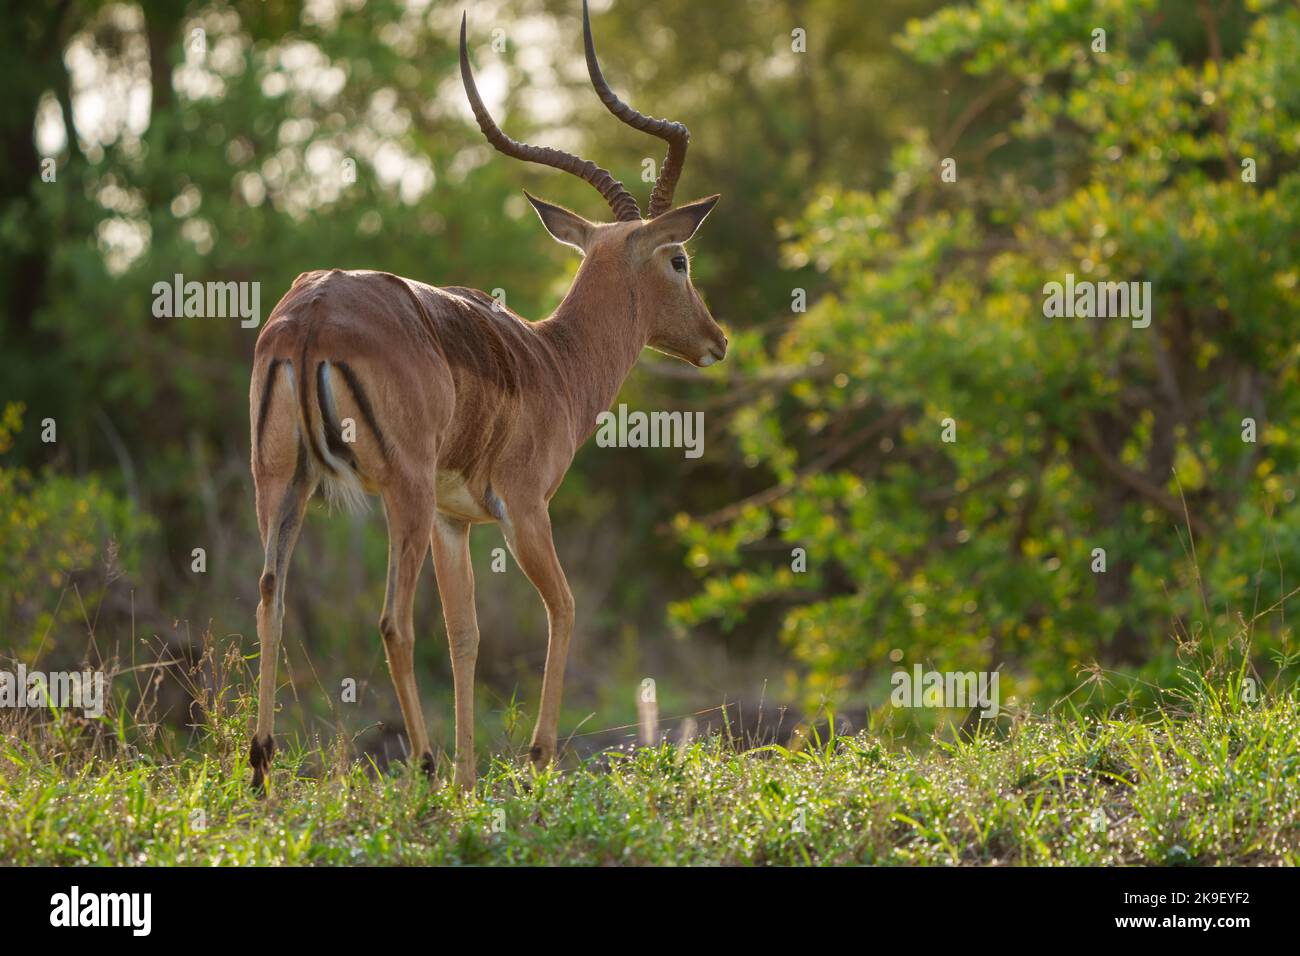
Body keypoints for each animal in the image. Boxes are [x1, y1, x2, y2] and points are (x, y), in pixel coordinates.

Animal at [247, 1, 726, 790]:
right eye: (680, 258)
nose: (717, 340)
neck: (554, 360)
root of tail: (311, 313)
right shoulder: (523, 507)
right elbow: (563, 608)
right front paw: (534, 761)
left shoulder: (455, 521)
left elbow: (466, 636)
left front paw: (472, 782)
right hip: (399, 493)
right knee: (392, 622)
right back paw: (422, 766)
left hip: (283, 483)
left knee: (270, 598)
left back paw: (261, 771)